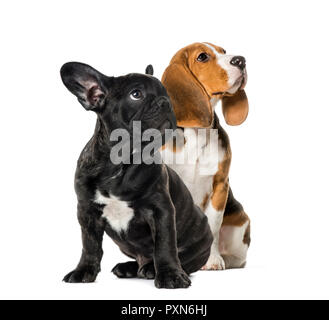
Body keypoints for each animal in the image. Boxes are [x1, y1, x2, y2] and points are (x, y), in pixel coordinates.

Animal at [60, 61, 211, 288]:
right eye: (136, 94)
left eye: (166, 93)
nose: (166, 102)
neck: (121, 162)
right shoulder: (86, 212)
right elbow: (90, 245)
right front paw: (84, 270)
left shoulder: (161, 210)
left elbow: (165, 244)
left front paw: (170, 275)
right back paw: (131, 267)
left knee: (178, 259)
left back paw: (153, 269)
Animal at [160, 42, 250, 270]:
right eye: (202, 57)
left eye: (224, 51)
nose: (241, 60)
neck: (196, 133)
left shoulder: (220, 185)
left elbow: (213, 225)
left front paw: (212, 259)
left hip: (241, 223)